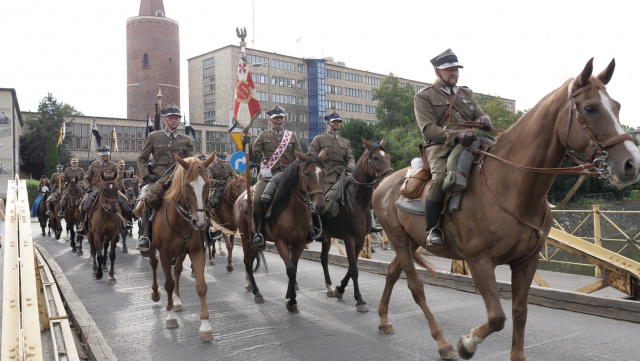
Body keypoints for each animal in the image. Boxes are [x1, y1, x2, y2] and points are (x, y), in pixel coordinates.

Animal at [149, 150, 218, 342]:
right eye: (187, 185)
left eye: (207, 184)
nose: (200, 222)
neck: (179, 220)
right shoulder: (165, 254)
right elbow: (168, 284)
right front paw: (170, 317)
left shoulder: (196, 251)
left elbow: (201, 286)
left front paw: (205, 326)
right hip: (153, 249)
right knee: (153, 264)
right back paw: (155, 293)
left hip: (181, 252)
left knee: (178, 270)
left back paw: (178, 301)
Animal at [234, 150, 324, 310]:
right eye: (307, 174)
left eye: (323, 173)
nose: (319, 206)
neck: (294, 210)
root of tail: (241, 198)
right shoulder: (280, 241)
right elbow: (290, 269)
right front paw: (292, 300)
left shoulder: (299, 243)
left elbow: (294, 268)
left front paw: (290, 295)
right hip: (245, 237)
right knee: (248, 262)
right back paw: (257, 293)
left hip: (255, 242)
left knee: (250, 258)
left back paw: (250, 285)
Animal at [318, 138, 392, 310]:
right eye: (376, 158)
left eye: (388, 157)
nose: (390, 177)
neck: (356, 200)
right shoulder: (349, 239)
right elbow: (354, 269)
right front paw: (359, 300)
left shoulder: (359, 239)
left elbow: (353, 266)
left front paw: (340, 289)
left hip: (327, 236)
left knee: (323, 258)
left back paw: (329, 287)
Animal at [370, 57, 640, 358]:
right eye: (591, 108)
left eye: (617, 106)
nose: (632, 164)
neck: (512, 187)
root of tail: (384, 183)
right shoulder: (479, 262)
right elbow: (497, 317)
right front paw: (467, 343)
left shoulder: (526, 261)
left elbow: (519, 312)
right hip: (398, 238)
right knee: (416, 287)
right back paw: (443, 343)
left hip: (411, 240)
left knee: (393, 273)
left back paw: (383, 320)